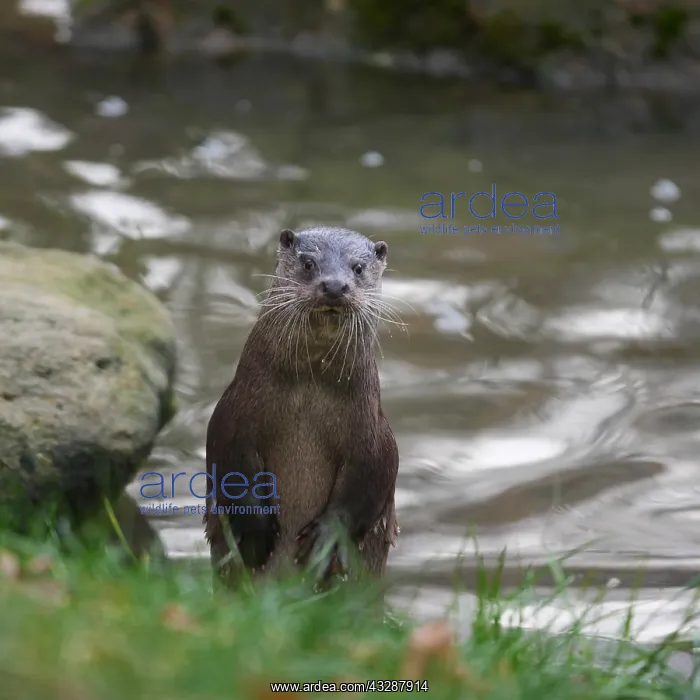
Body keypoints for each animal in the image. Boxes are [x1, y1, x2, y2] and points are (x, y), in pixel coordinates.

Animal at [204, 226, 399, 586]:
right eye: (309, 263)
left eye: (358, 268)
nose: (334, 286)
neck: (307, 407)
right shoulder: (231, 418)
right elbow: (231, 468)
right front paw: (255, 534)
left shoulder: (375, 437)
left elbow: (370, 482)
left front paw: (326, 540)